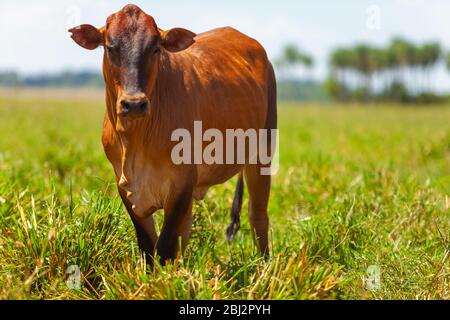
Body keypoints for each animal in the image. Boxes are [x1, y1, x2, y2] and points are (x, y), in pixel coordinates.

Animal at [68, 4, 276, 262]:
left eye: (155, 48)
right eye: (110, 47)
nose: (134, 104)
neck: (135, 140)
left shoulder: (181, 184)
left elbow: (165, 247)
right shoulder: (125, 186)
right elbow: (149, 246)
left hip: (263, 153)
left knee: (257, 215)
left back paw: (263, 265)